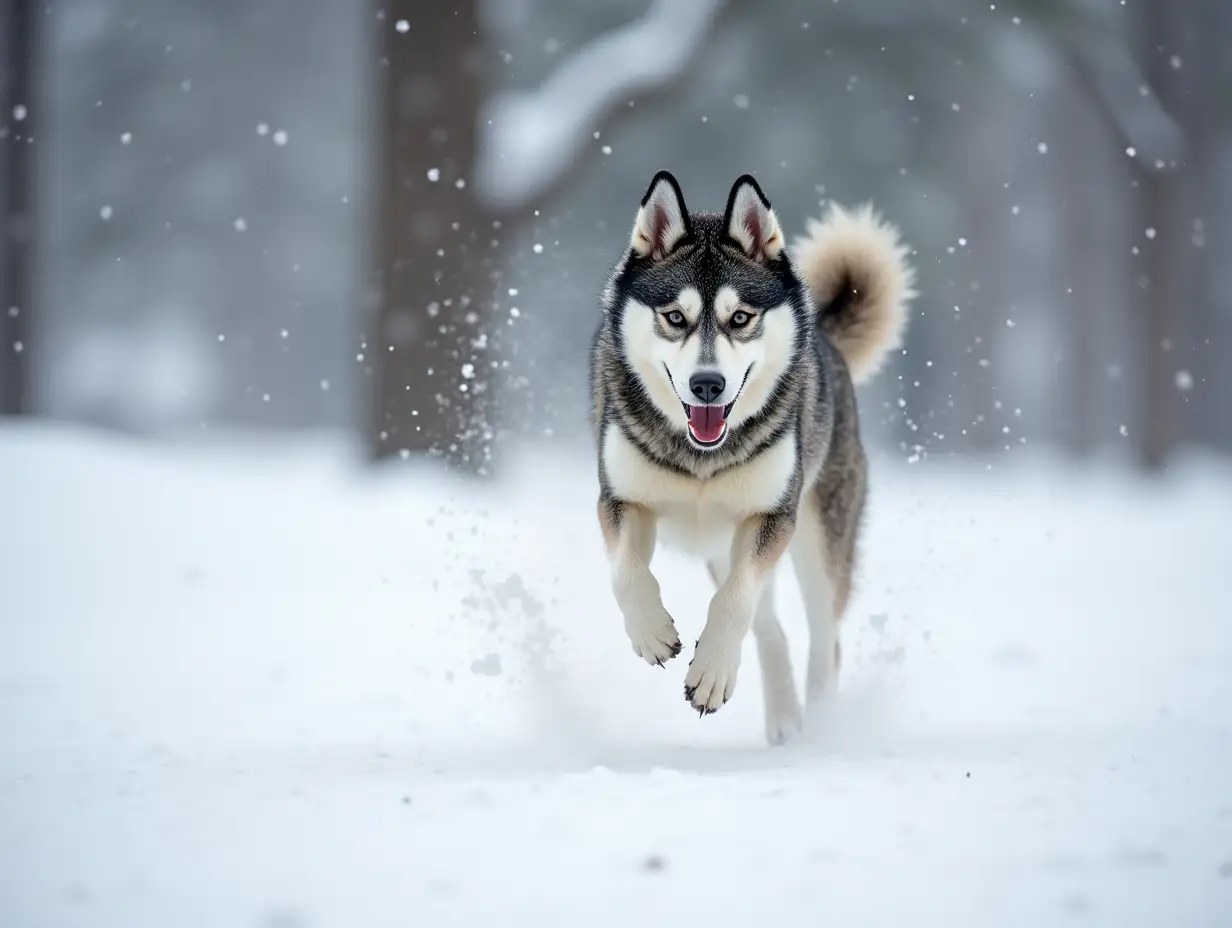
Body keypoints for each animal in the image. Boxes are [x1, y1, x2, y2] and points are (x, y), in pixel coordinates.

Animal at [586, 170, 916, 744]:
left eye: (740, 317)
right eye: (675, 317)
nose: (707, 384)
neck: (701, 455)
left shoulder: (771, 517)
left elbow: (736, 597)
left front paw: (711, 672)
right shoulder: (622, 501)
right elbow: (625, 571)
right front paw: (652, 634)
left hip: (818, 543)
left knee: (823, 639)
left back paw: (821, 725)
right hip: (723, 551)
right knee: (772, 630)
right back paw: (784, 718)